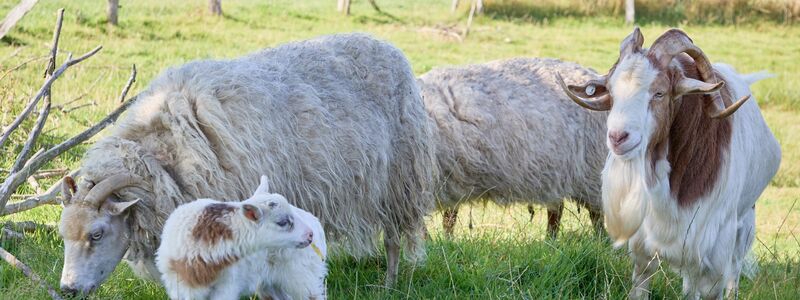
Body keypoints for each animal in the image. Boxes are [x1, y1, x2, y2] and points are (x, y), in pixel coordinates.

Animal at [156, 176, 324, 300]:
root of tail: (315, 222)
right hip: (271, 283)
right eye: (282, 222)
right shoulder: (180, 287)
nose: (309, 235)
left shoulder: (228, 285)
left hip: (302, 275)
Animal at [418, 58, 608, 237]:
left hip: (590, 169)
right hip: (557, 172)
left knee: (596, 213)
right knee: (557, 209)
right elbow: (447, 219)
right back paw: (550, 241)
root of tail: (590, 73)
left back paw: (600, 240)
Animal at [556, 27, 780, 298]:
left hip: (744, 224)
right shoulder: (644, 246)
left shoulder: (714, 249)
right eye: (611, 91)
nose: (618, 137)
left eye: (659, 93)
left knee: (733, 274)